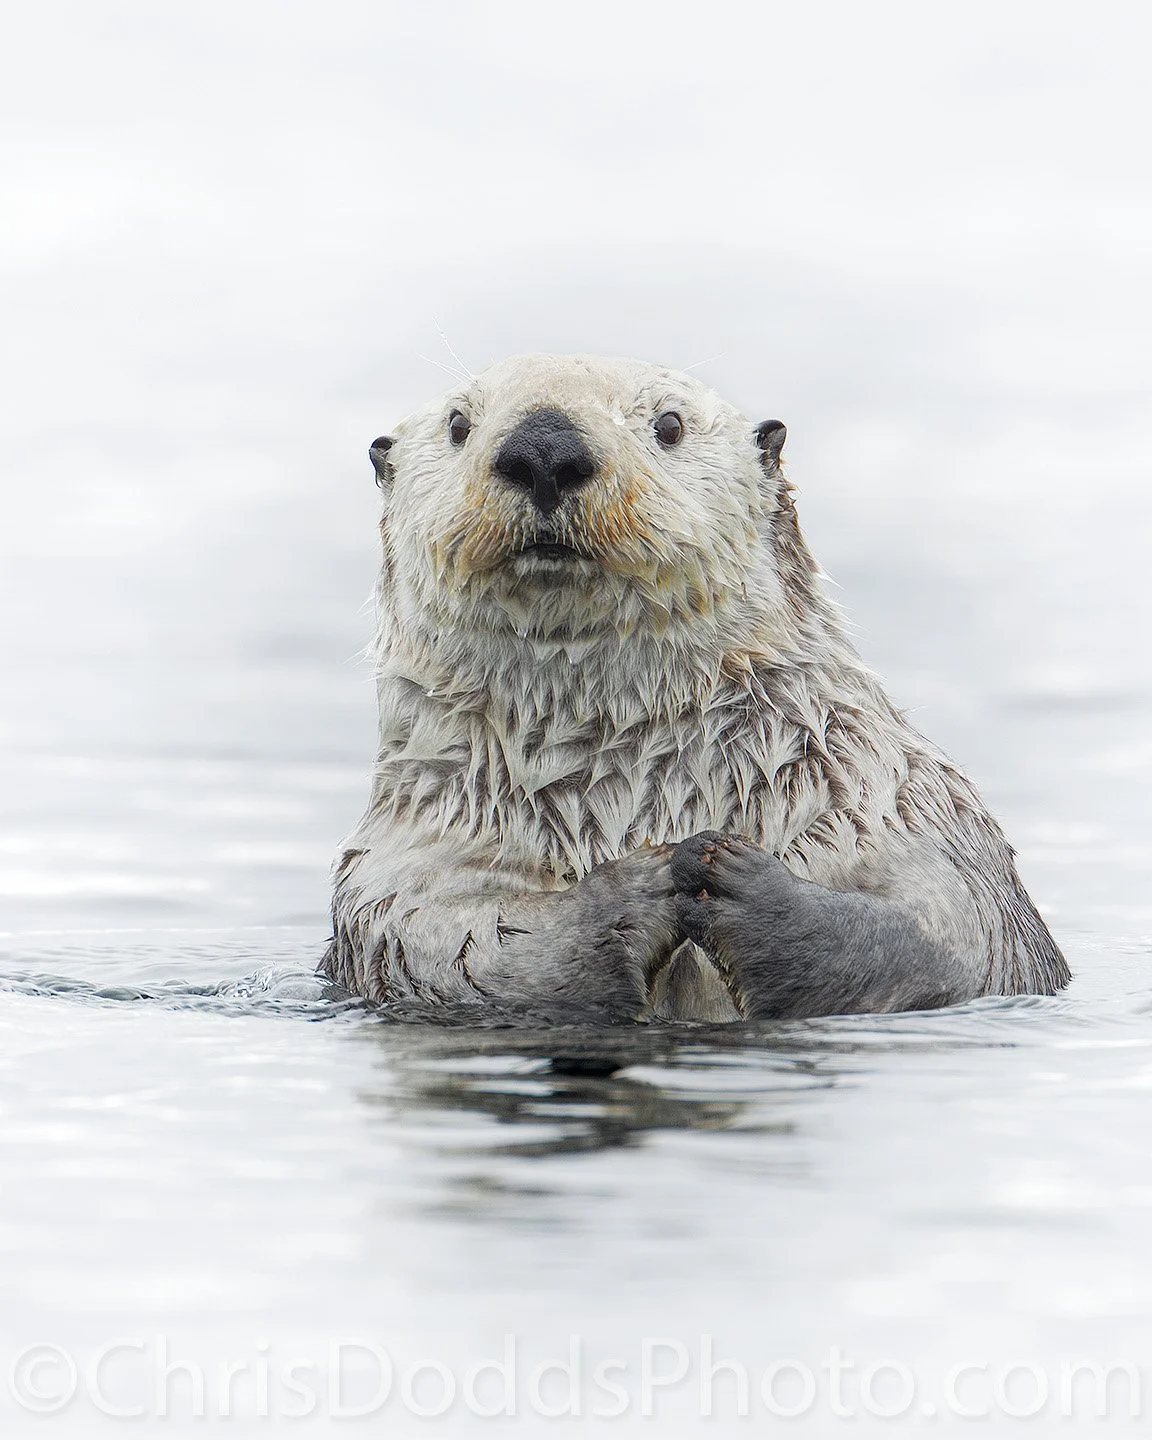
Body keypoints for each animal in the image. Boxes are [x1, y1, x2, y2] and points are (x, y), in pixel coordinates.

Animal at [322, 354, 1069, 1022]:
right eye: (458, 424)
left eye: (669, 423)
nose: (543, 447)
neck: (625, 772)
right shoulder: (404, 864)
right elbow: (456, 949)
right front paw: (642, 887)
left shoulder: (897, 806)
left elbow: (940, 933)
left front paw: (731, 874)